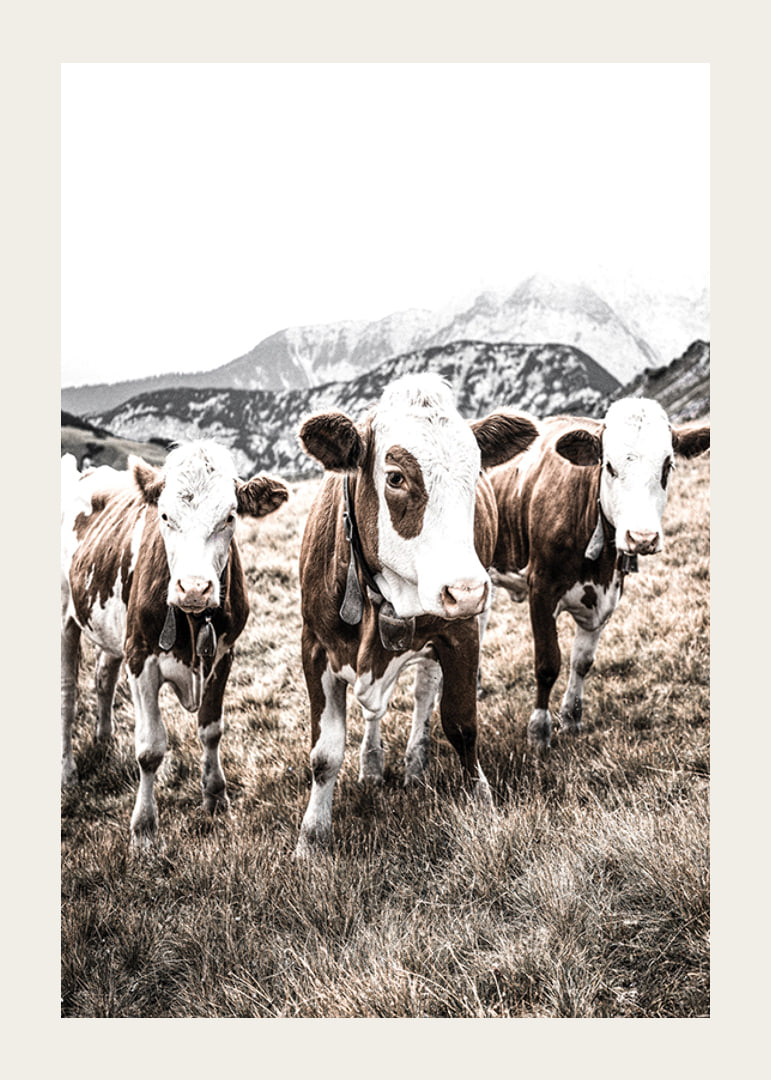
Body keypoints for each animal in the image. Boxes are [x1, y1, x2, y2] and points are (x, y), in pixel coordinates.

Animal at [61, 440, 289, 846]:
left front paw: (216, 797)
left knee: (103, 677)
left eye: (230, 517)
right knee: (68, 697)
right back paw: (68, 772)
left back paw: (104, 741)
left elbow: (211, 729)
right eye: (165, 516)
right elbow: (151, 748)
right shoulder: (141, 658)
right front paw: (144, 829)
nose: (194, 588)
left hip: (112, 630)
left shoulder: (222, 656)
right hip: (65, 618)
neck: (193, 621)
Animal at [293, 373, 540, 858]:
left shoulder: (461, 632)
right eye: (395, 477)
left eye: (476, 472)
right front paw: (312, 837)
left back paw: (415, 761)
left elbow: (461, 724)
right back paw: (373, 764)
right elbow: (324, 753)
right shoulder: (314, 646)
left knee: (426, 692)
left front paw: (481, 804)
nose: (466, 590)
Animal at [484, 397, 710, 750]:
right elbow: (547, 663)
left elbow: (582, 662)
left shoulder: (607, 596)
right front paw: (539, 731)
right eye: (610, 466)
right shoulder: (541, 588)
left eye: (667, 466)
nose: (642, 537)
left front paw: (571, 718)